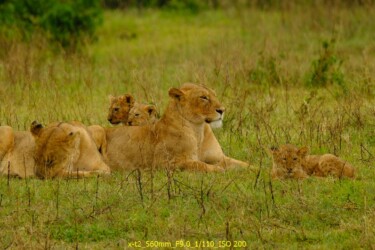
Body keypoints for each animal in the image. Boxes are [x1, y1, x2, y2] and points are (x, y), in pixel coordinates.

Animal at [106, 82, 250, 172]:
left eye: (215, 95)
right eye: (203, 97)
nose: (222, 110)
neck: (199, 129)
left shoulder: (219, 158)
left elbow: (243, 164)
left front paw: (255, 169)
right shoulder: (164, 163)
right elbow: (198, 164)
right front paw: (219, 169)